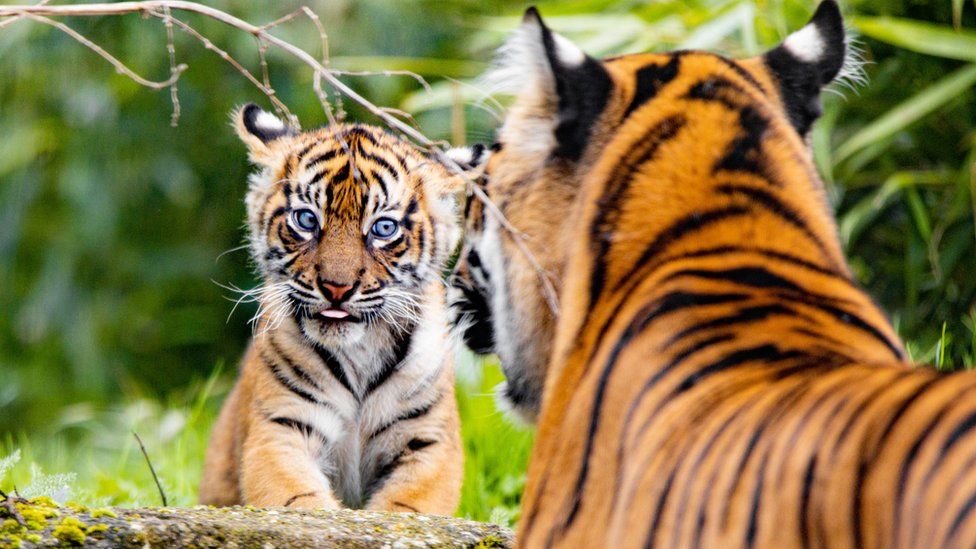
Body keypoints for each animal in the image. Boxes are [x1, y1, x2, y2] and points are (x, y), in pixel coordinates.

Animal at [201, 104, 484, 512]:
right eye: (306, 219)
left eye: (383, 228)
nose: (337, 288)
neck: (359, 351)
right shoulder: (280, 427)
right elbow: (296, 497)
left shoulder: (429, 440)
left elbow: (405, 507)